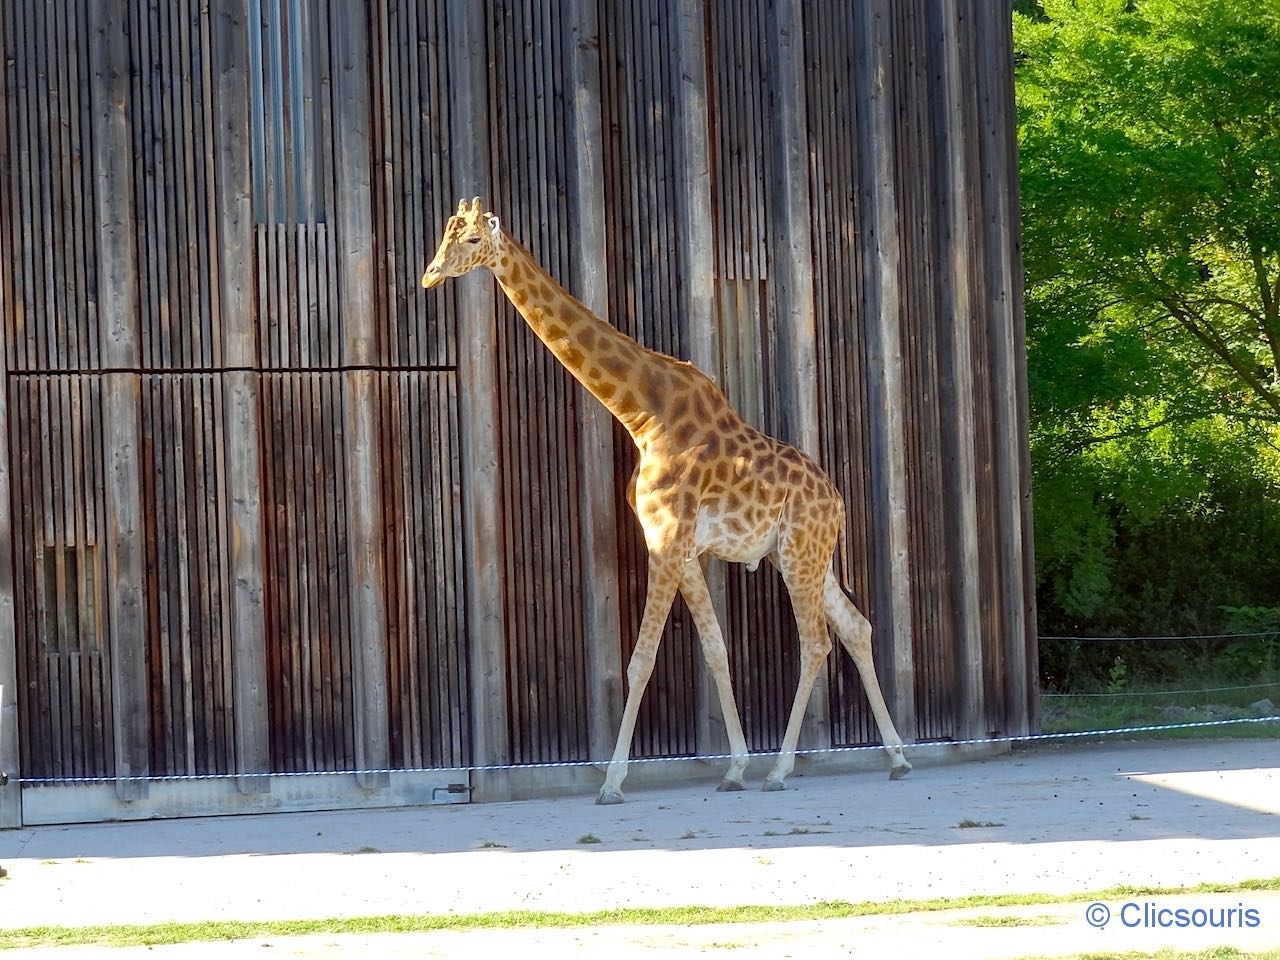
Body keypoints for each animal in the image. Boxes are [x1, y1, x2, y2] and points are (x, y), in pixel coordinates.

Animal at [422, 197, 911, 803]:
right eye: (444, 234)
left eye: (470, 240)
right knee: (855, 627)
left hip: (801, 554)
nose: (429, 275)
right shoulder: (680, 545)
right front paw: (733, 768)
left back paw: (781, 770)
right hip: (802, 555)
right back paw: (896, 758)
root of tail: (838, 500)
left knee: (816, 641)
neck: (641, 413)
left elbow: (641, 660)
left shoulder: (667, 538)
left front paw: (612, 781)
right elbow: (716, 650)